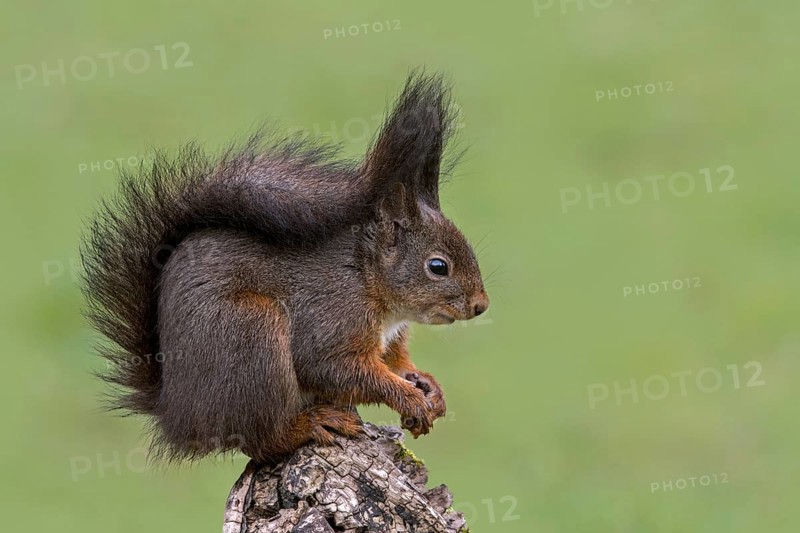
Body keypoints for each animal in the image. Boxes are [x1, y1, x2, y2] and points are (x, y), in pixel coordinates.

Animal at [81, 72, 489, 464]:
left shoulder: (388, 339)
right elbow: (334, 369)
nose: (480, 306)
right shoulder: (330, 316)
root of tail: (177, 418)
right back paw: (311, 424)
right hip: (251, 333)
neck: (366, 277)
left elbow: (394, 361)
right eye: (438, 266)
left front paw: (427, 386)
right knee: (262, 441)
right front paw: (407, 397)